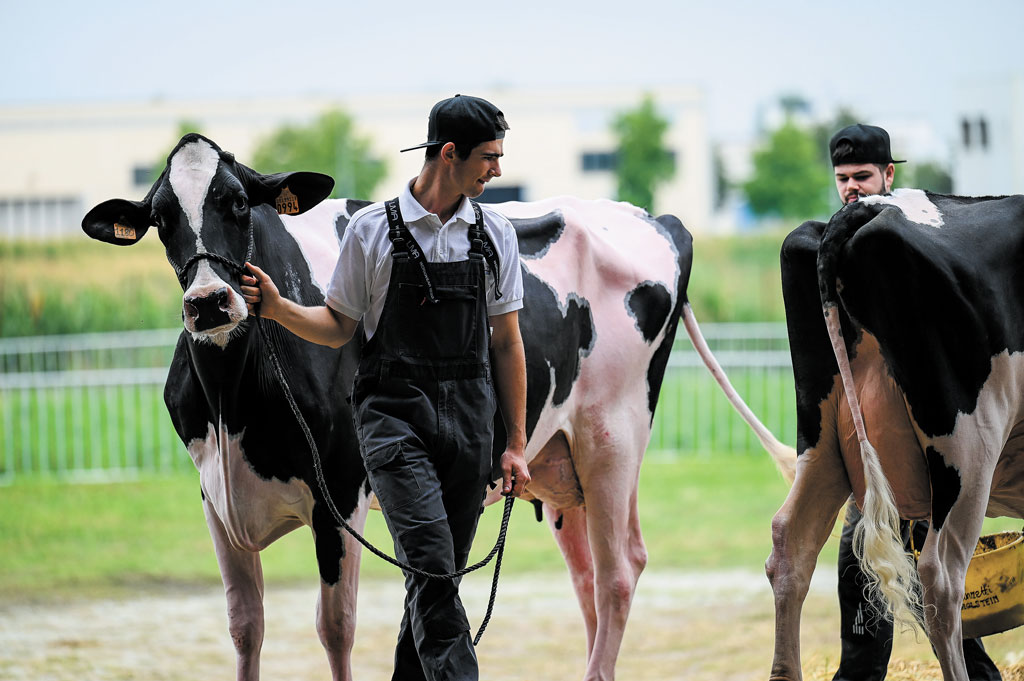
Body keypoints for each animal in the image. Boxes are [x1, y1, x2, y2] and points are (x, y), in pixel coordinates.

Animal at [83, 134, 794, 679]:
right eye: (161, 219)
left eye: (236, 204)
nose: (209, 302)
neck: (235, 402)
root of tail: (654, 217)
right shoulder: (216, 497)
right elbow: (244, 626)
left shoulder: (339, 490)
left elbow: (335, 626)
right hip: (559, 462)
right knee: (592, 574)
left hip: (613, 434)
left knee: (618, 574)